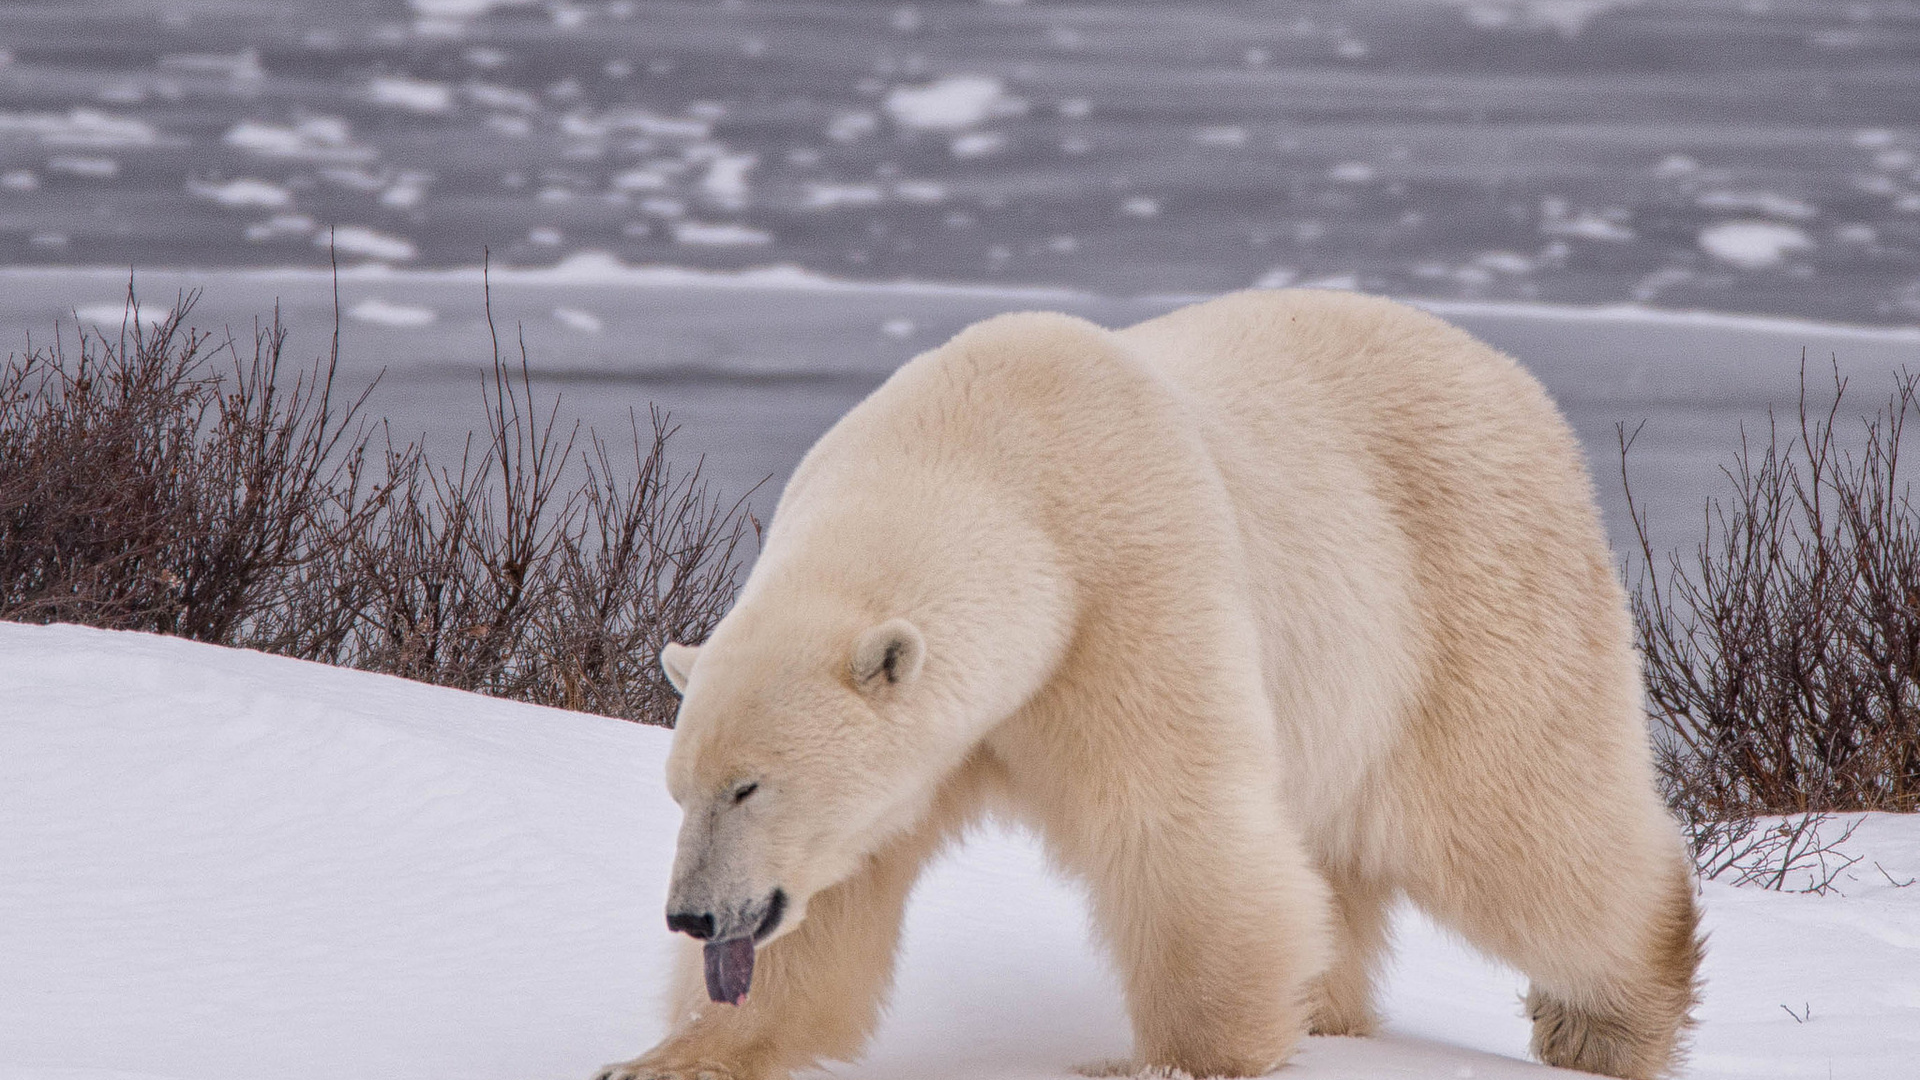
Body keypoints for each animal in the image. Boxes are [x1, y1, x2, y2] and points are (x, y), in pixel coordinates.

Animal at [595, 288, 1697, 1076]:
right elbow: (836, 892)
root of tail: (1512, 377)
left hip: (1469, 591)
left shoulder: (1125, 586)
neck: (987, 458)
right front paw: (671, 1058)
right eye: (680, 788)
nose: (693, 917)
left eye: (750, 785)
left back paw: (1609, 1021)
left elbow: (1169, 820)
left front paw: (1172, 1060)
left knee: (1513, 819)